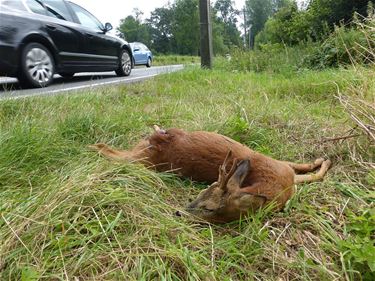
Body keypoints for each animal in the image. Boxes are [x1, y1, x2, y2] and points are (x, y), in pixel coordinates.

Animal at [91, 126, 332, 222]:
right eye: (204, 190)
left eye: (210, 208)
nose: (179, 213)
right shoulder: (281, 165)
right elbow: (307, 170)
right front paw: (323, 160)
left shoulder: (287, 174)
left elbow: (310, 173)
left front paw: (323, 161)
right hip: (142, 153)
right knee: (114, 153)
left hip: (142, 154)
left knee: (115, 152)